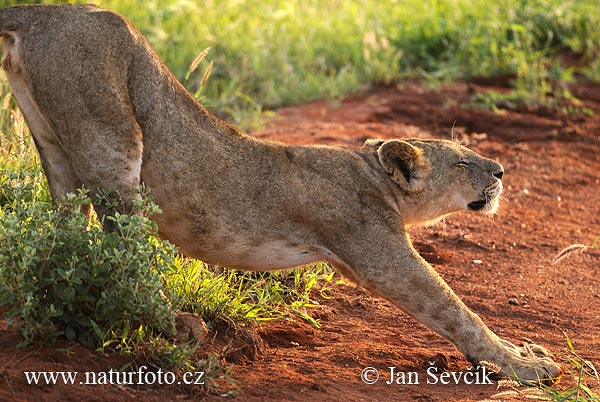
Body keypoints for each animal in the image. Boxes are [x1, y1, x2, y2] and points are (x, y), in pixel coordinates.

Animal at [0, 5, 564, 384]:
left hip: (52, 139)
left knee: (67, 230)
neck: (373, 175)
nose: (502, 170)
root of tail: (46, 11)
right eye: (464, 161)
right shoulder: (378, 253)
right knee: (123, 245)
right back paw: (174, 325)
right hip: (112, 131)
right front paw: (525, 365)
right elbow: (454, 310)